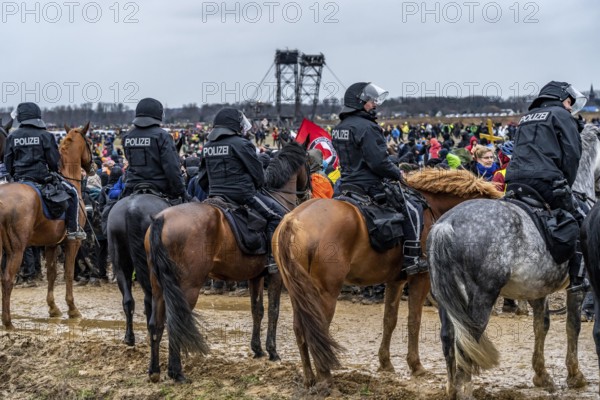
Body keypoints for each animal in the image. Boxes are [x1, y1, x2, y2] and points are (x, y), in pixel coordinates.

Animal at [0, 123, 95, 330]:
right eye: (91, 143)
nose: (93, 168)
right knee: (7, 279)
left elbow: (52, 273)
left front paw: (53, 307)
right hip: (16, 250)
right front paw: (72, 309)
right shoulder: (72, 242)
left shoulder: (51, 244)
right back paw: (8, 322)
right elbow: (68, 272)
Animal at [143, 142, 308, 382]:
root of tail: (161, 219)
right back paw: (176, 372)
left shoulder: (255, 276)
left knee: (156, 324)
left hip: (158, 286)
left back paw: (155, 371)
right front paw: (272, 351)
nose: (309, 192)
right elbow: (273, 311)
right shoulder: (276, 275)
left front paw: (257, 349)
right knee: (177, 322)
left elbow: (257, 310)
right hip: (188, 286)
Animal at [272, 168, 502, 388]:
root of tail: (293, 220)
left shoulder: (396, 281)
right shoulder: (421, 278)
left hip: (299, 292)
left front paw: (385, 362)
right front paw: (416, 365)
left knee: (300, 329)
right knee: (317, 330)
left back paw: (310, 378)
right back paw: (326, 379)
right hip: (326, 293)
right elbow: (413, 320)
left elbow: (389, 320)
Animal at [426, 125, 600, 400]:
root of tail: (447, 224)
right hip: (480, 299)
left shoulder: (538, 289)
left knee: (449, 339)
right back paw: (465, 391)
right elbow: (572, 327)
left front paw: (542, 375)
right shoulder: (578, 288)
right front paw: (575, 375)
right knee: (467, 343)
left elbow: (542, 326)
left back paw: (452, 388)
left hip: (448, 301)